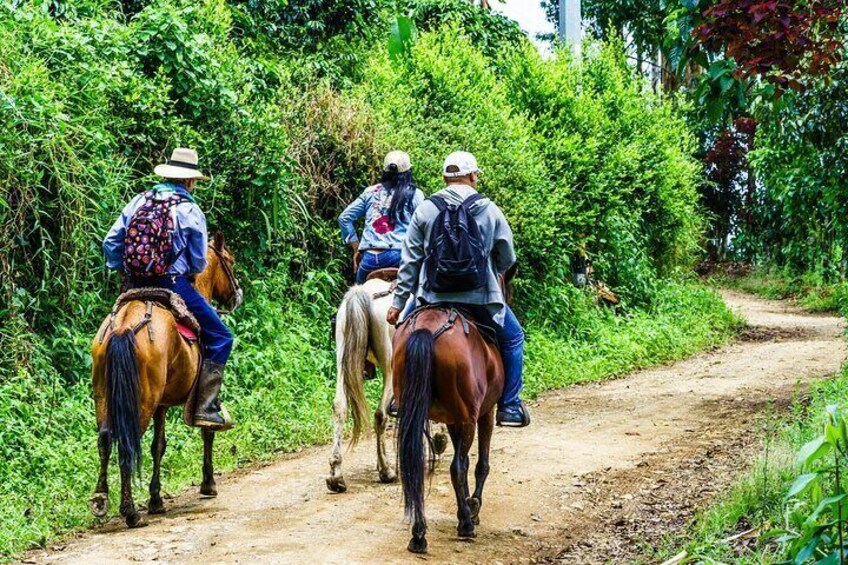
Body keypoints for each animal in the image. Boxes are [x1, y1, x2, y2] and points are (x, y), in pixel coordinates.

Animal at [88, 231, 240, 528]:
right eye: (230, 260)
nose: (236, 294)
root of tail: (123, 327)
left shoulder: (161, 404)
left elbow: (158, 446)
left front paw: (156, 499)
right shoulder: (192, 398)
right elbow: (207, 428)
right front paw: (208, 484)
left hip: (105, 394)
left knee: (105, 439)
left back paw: (101, 500)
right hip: (141, 400)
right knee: (127, 442)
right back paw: (130, 511)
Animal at [392, 306, 504, 552]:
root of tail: (427, 329)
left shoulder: (453, 420)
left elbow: (467, 460)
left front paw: (467, 508)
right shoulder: (484, 412)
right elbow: (480, 464)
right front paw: (472, 508)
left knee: (415, 468)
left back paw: (418, 535)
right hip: (468, 416)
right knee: (456, 468)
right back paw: (466, 526)